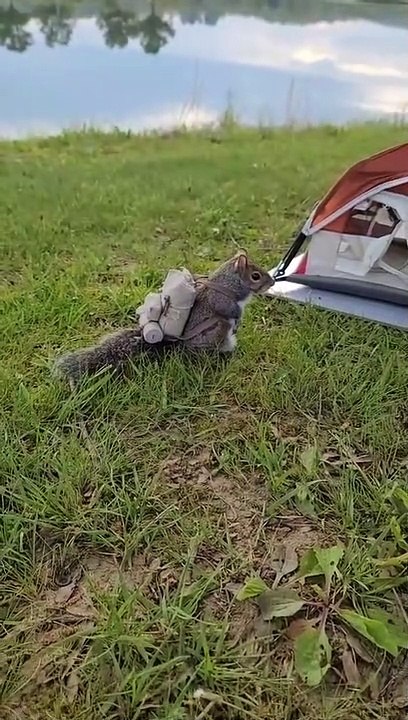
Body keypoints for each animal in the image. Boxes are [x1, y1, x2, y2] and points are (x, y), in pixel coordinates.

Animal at [53, 251, 274, 385]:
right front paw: (237, 319)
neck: (231, 282)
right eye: (255, 275)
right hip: (216, 332)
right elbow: (228, 310)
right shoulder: (222, 299)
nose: (272, 282)